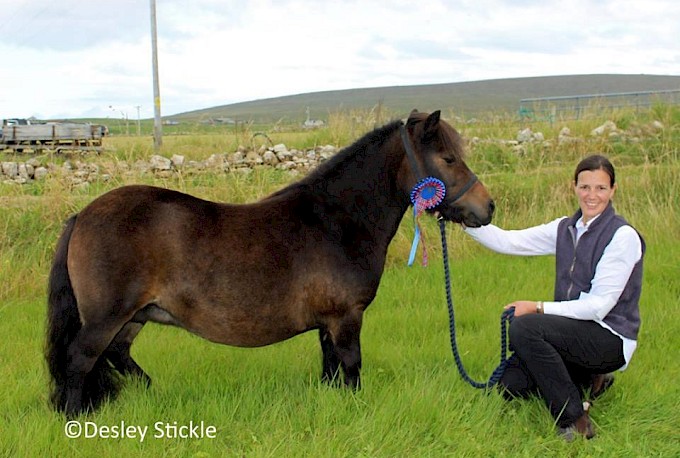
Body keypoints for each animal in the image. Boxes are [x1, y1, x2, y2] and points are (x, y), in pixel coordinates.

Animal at [47, 110, 494, 416]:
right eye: (448, 158)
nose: (487, 207)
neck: (336, 221)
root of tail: (81, 215)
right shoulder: (346, 317)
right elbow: (351, 368)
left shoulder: (327, 324)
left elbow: (331, 371)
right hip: (108, 317)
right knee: (80, 360)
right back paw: (76, 418)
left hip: (134, 316)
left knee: (115, 355)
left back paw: (150, 390)